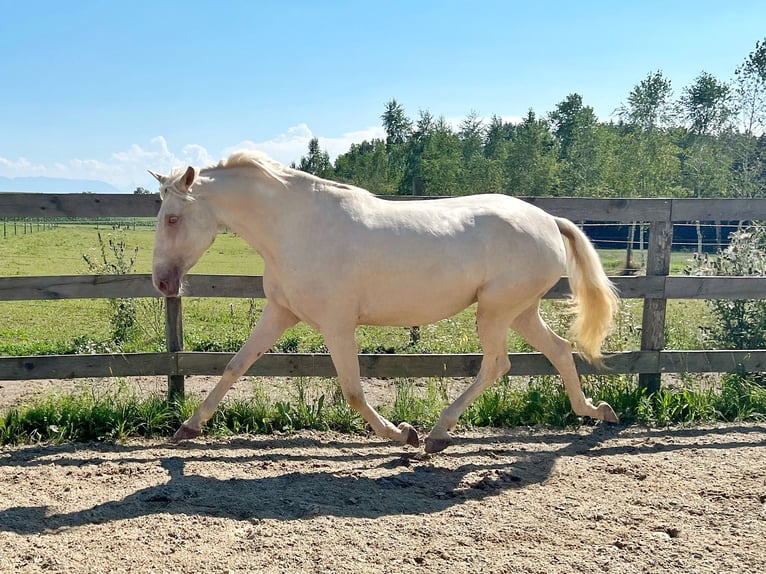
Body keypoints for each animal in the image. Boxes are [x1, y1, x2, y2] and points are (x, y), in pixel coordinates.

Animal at [148, 150, 616, 454]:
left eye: (172, 218)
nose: (162, 282)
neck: (297, 228)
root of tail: (549, 220)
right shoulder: (281, 313)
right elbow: (235, 366)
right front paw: (187, 428)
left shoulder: (337, 324)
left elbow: (353, 390)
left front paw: (402, 433)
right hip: (519, 312)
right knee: (560, 350)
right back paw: (598, 411)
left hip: (496, 311)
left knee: (498, 365)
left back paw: (437, 433)